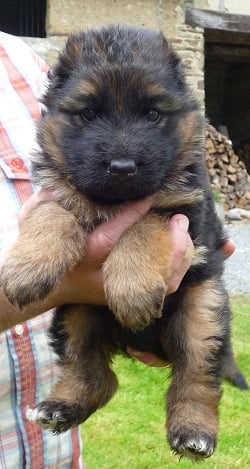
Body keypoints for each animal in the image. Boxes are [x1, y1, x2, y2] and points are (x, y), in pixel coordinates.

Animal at [0, 24, 247, 458]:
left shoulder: (183, 215)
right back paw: (61, 407)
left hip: (203, 308)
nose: (122, 167)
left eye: (152, 114)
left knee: (197, 374)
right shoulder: (56, 192)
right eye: (89, 114)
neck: (113, 201)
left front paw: (132, 289)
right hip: (75, 311)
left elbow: (143, 225)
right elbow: (55, 213)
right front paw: (26, 267)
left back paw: (194, 431)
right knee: (93, 374)